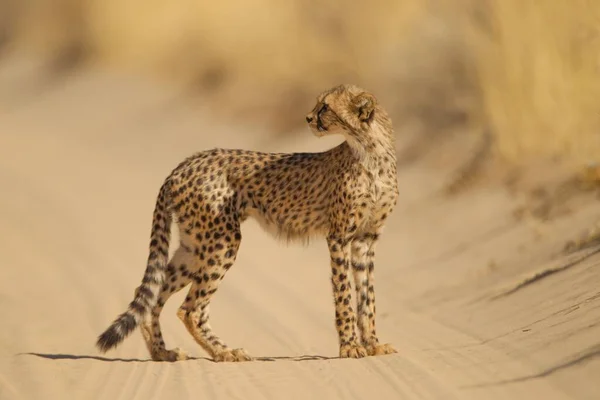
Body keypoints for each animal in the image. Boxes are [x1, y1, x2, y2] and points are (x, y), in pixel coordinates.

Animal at [97, 83, 398, 360]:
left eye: (325, 107)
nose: (308, 118)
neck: (371, 152)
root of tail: (184, 164)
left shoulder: (365, 239)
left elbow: (367, 296)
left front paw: (373, 344)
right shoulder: (339, 237)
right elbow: (344, 294)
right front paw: (350, 346)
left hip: (193, 246)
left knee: (152, 292)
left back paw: (163, 353)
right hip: (223, 240)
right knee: (190, 309)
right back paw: (224, 352)